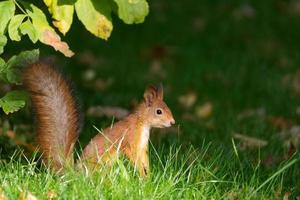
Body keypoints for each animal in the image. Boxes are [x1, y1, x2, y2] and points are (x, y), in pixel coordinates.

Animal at [22, 61, 176, 176]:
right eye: (159, 111)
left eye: (168, 107)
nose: (172, 122)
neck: (142, 124)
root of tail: (76, 176)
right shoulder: (130, 140)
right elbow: (134, 157)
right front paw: (142, 175)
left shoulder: (142, 146)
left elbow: (144, 159)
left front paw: (148, 176)